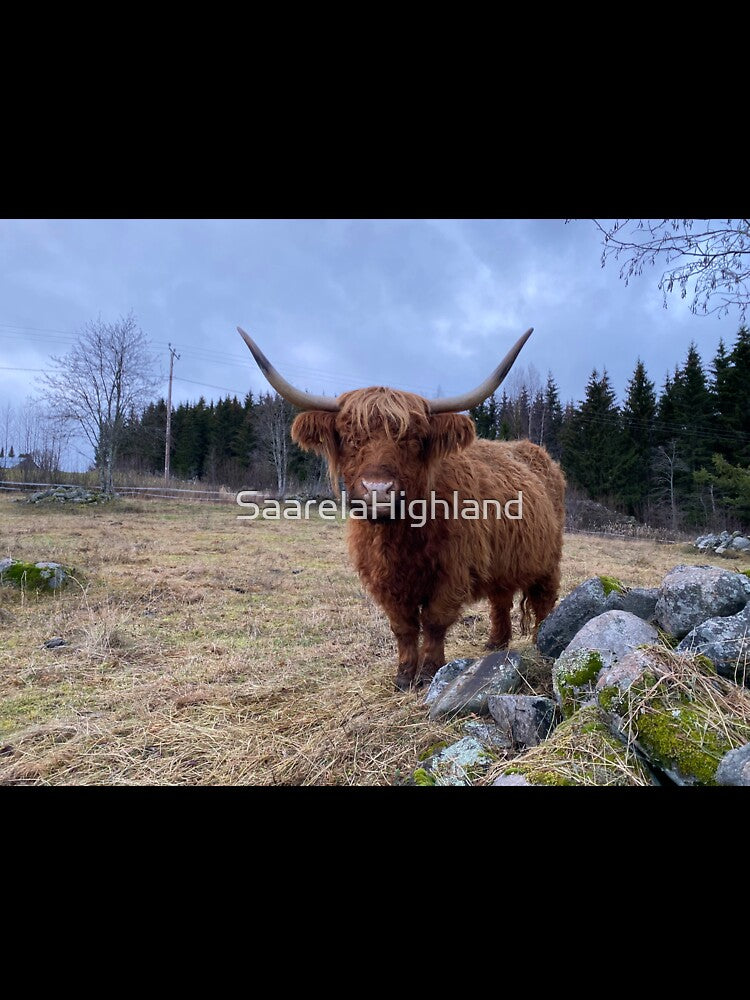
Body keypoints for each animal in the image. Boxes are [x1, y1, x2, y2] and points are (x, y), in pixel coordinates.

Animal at [238, 326, 565, 691]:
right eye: (350, 438)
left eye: (413, 440)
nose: (378, 489)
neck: (399, 537)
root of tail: (536, 452)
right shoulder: (384, 580)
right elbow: (403, 626)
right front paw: (405, 675)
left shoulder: (452, 572)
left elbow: (434, 622)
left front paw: (429, 671)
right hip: (502, 560)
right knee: (501, 597)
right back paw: (496, 643)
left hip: (547, 559)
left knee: (544, 599)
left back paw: (541, 642)